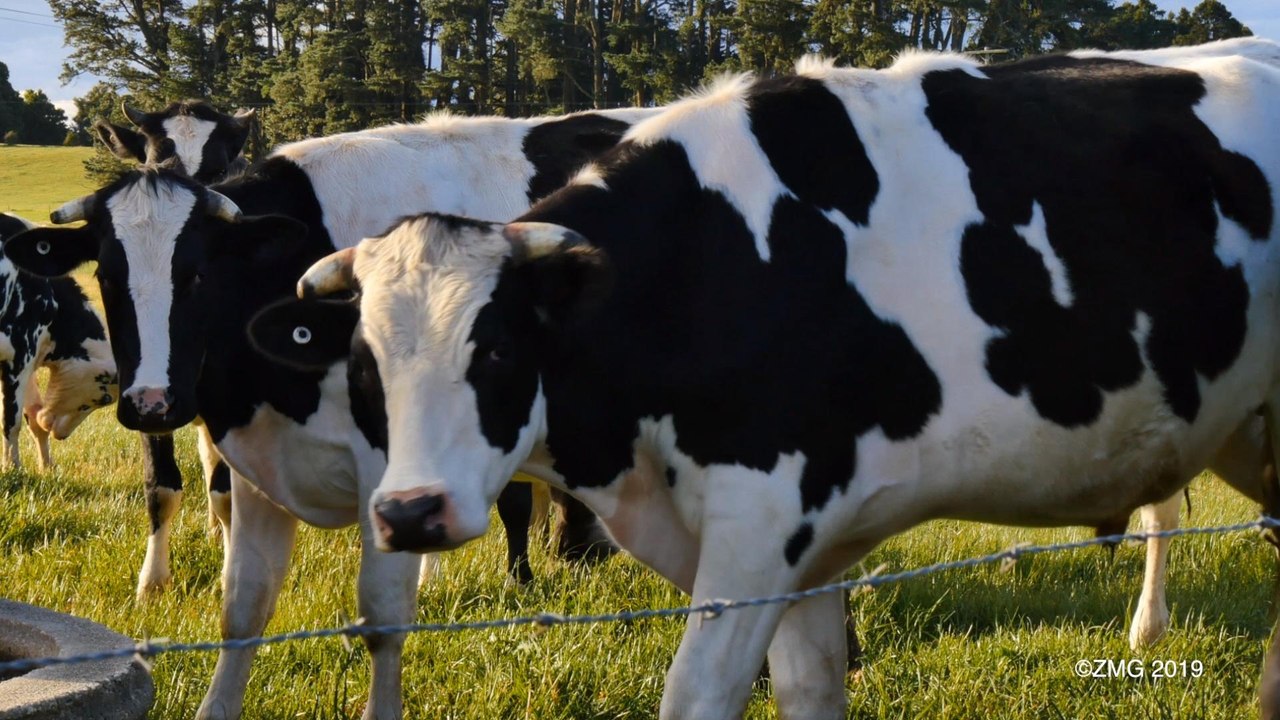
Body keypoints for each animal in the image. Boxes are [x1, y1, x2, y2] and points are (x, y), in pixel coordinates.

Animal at [0, 213, 116, 470]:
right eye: (105, 398)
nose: (61, 435)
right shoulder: (18, 354)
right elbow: (11, 421)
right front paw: (13, 468)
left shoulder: (28, 360)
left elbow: (33, 417)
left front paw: (46, 466)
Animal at [275, 42, 1280, 717]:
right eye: (363, 368)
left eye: (495, 351)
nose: (409, 514)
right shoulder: (806, 554)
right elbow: (806, 690)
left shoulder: (764, 523)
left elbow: (696, 697)